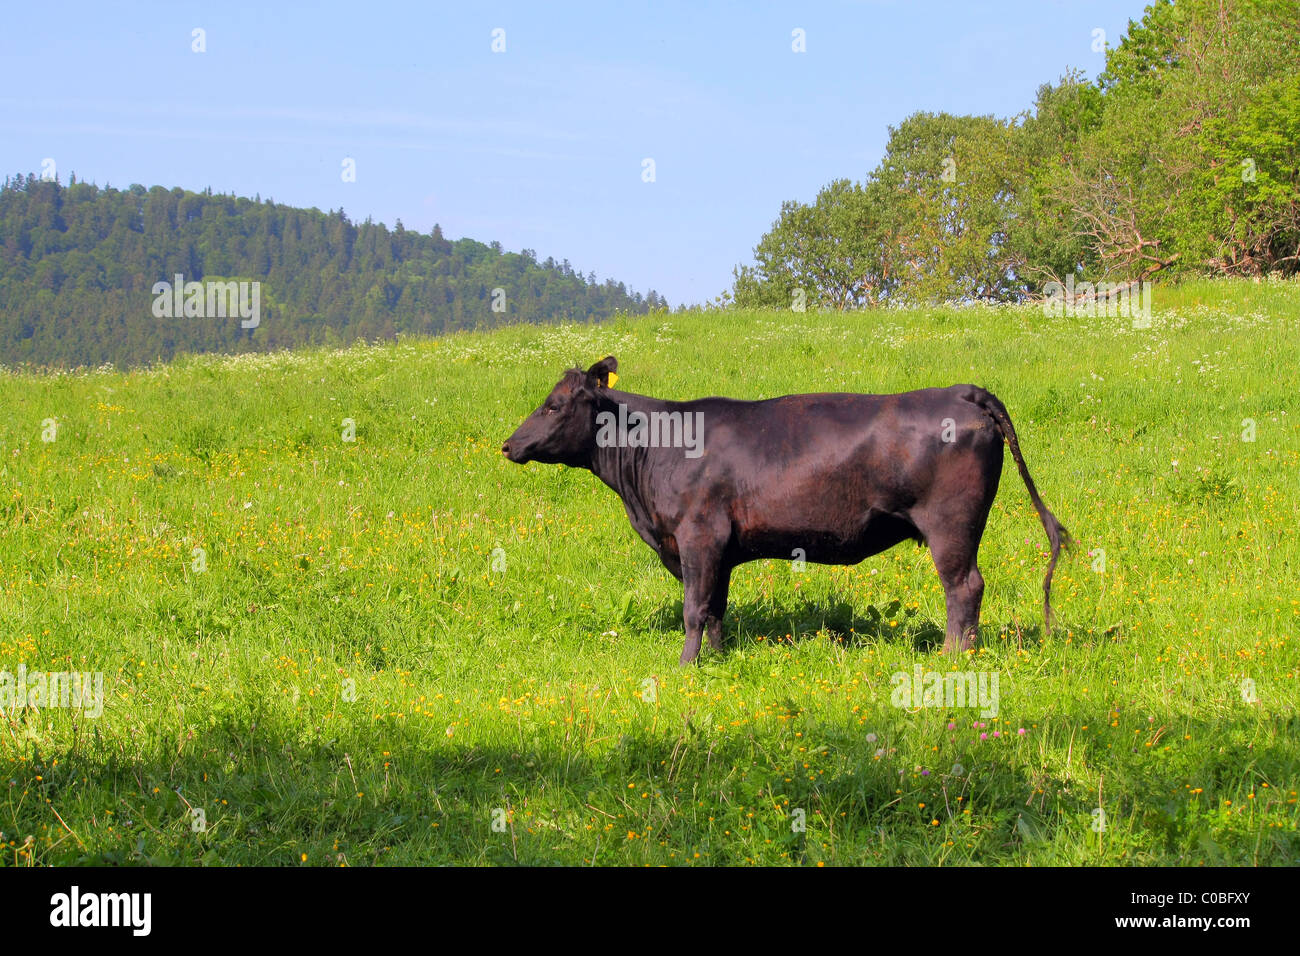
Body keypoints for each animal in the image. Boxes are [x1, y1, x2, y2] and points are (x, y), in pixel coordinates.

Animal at [496, 356, 1066, 660]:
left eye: (553, 405)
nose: (507, 445)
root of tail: (962, 391)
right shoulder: (719, 548)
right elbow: (715, 607)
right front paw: (717, 659)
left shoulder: (698, 535)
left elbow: (692, 608)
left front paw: (685, 666)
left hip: (951, 527)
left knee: (964, 587)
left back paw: (952, 656)